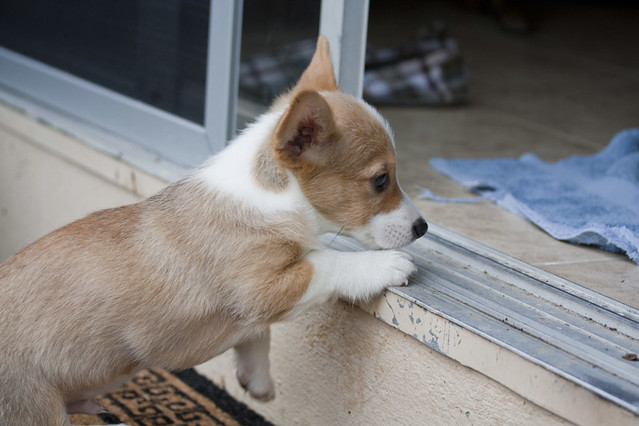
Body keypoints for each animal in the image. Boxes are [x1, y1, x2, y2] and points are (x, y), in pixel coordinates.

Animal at [1, 37, 430, 426]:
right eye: (380, 180)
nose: (423, 227)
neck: (268, 195)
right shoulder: (262, 284)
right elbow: (327, 263)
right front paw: (387, 265)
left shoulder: (255, 309)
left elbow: (258, 336)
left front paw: (258, 383)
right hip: (36, 411)